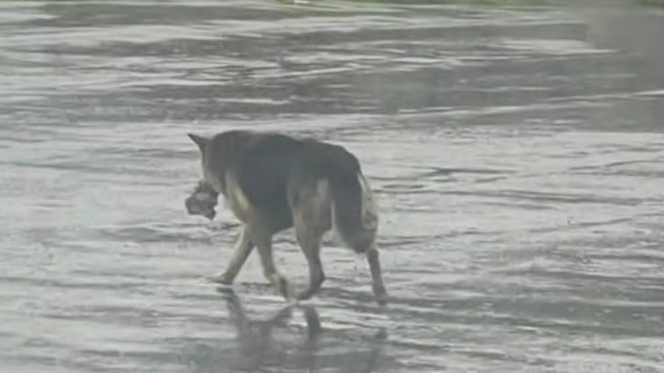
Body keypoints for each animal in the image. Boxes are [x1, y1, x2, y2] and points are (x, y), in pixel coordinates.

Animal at [184, 131, 386, 306]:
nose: (194, 193)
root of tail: (341, 164)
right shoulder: (260, 224)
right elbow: (237, 258)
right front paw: (223, 280)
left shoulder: (258, 223)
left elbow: (265, 265)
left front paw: (282, 285)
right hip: (352, 220)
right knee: (372, 251)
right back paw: (380, 292)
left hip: (305, 228)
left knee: (318, 273)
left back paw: (299, 298)